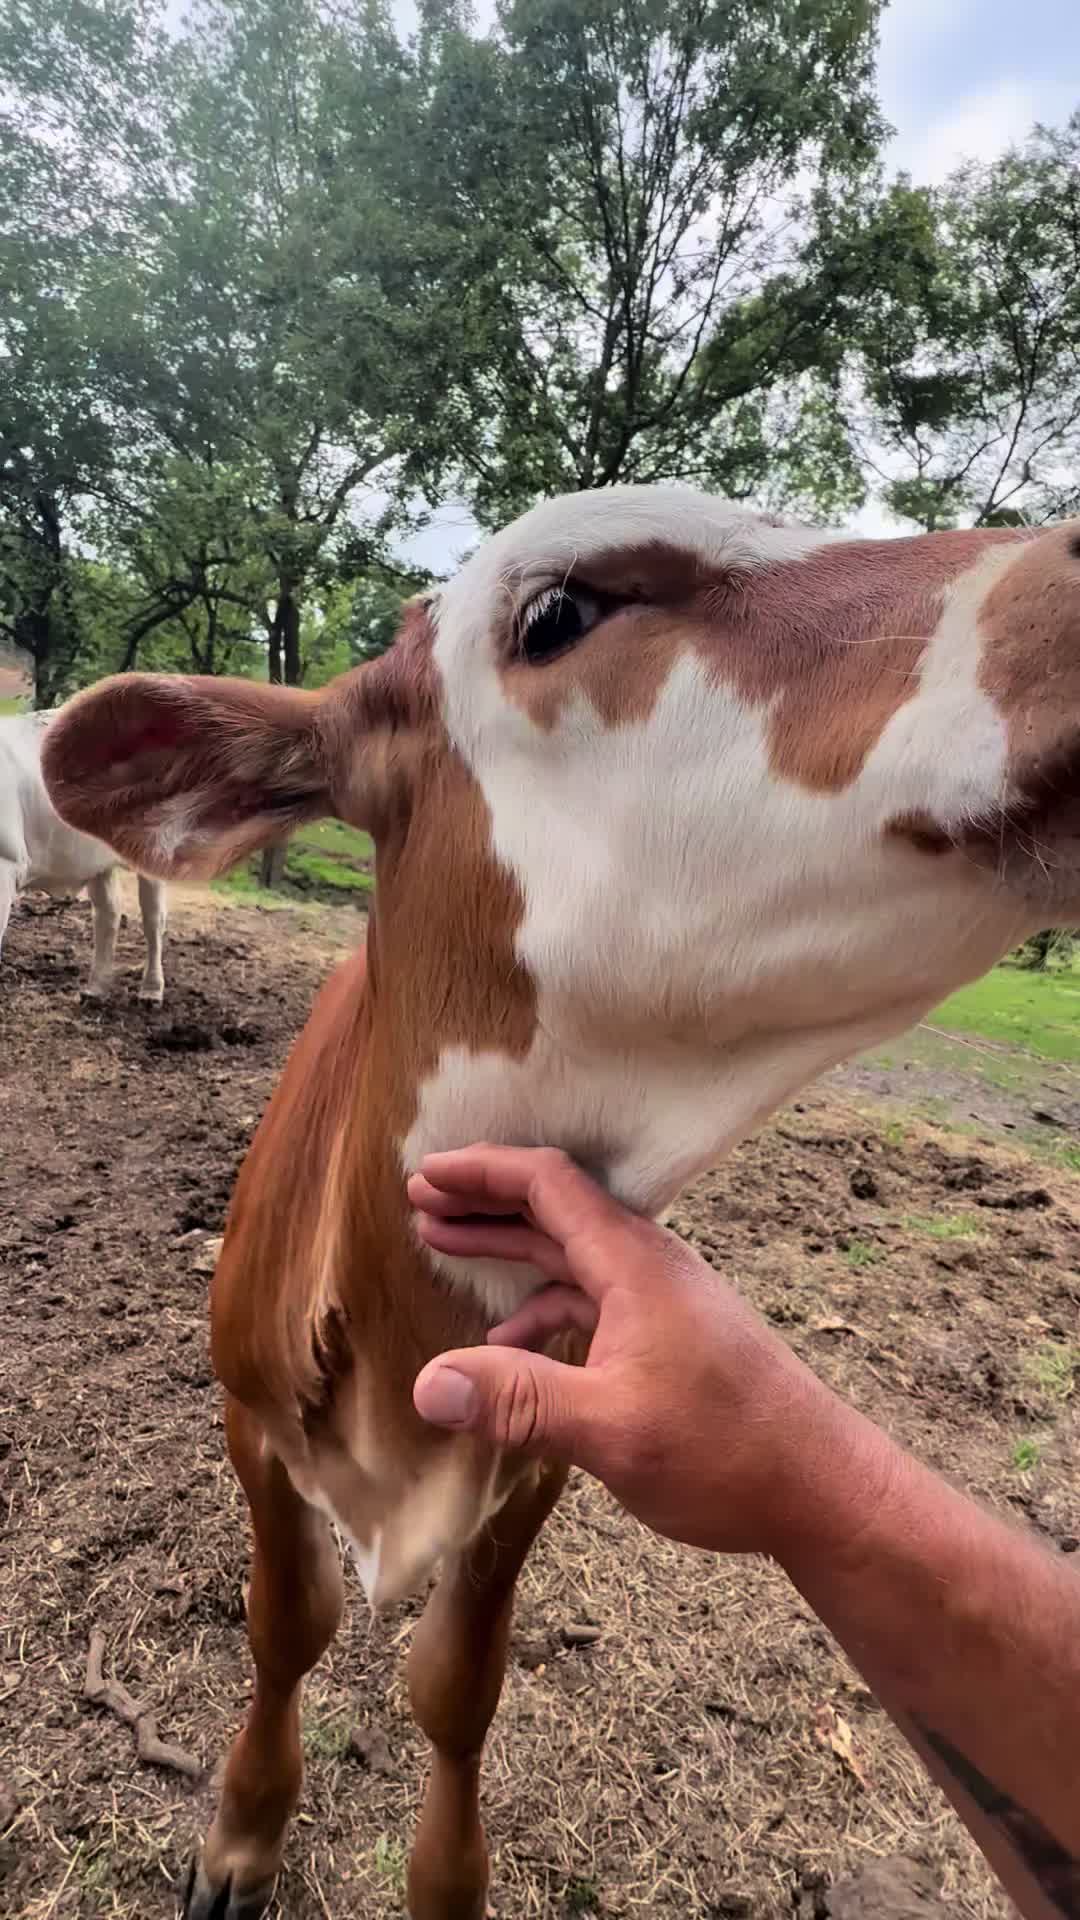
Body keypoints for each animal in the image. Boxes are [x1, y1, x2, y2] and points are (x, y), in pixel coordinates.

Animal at [0, 710, 166, 1003]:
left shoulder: (6, 864)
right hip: (95, 860)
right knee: (108, 912)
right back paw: (96, 989)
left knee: (153, 917)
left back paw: (151, 991)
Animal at [41, 487, 1080, 1920]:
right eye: (560, 613)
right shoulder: (250, 1416)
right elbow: (286, 1625)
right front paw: (242, 1835)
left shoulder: (549, 1448)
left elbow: (456, 1690)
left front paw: (443, 1877)